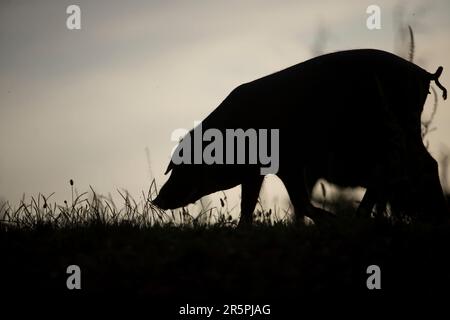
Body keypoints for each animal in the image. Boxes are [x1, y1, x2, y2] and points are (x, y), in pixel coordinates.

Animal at [153, 49, 448, 225]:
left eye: (182, 166)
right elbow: (250, 205)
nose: (156, 200)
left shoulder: (289, 164)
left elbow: (300, 202)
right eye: (173, 167)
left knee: (411, 169)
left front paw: (331, 222)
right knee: (410, 169)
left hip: (397, 128)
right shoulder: (258, 172)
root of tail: (423, 74)